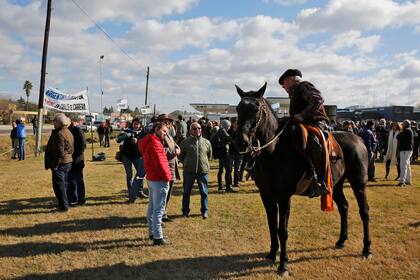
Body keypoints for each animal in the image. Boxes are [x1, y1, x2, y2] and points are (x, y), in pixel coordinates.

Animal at [235, 82, 372, 276]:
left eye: (256, 109)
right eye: (238, 109)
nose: (242, 142)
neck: (273, 151)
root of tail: (359, 139)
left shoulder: (284, 198)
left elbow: (282, 230)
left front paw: (283, 264)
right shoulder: (266, 195)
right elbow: (272, 225)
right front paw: (272, 254)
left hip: (358, 184)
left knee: (364, 211)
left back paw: (366, 249)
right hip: (335, 184)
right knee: (344, 207)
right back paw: (341, 240)